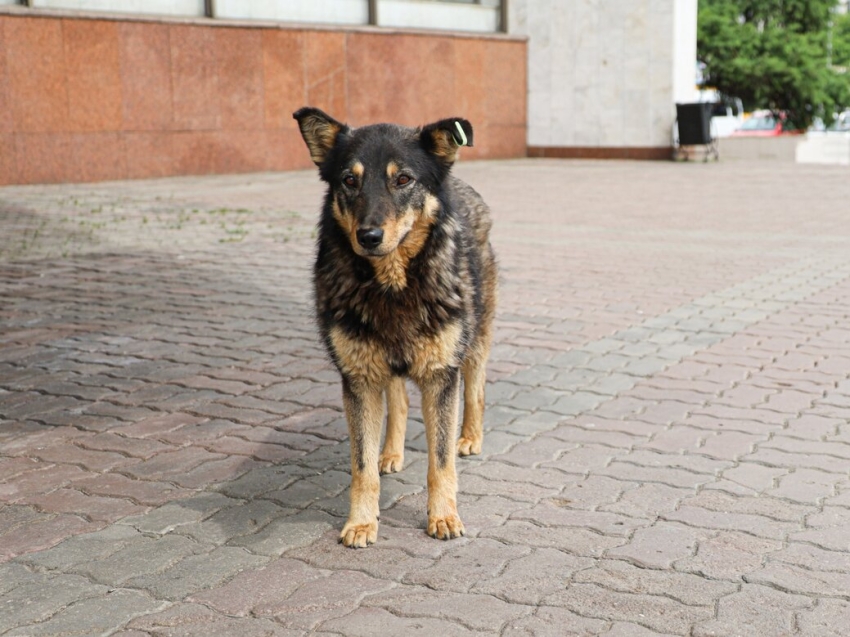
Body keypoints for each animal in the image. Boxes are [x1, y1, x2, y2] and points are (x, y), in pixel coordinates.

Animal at [294, 108, 496, 548]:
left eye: (403, 179)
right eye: (349, 180)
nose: (368, 236)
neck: (391, 285)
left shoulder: (441, 375)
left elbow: (441, 462)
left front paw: (444, 516)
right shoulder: (359, 378)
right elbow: (362, 466)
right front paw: (361, 521)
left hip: (475, 336)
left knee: (475, 388)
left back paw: (470, 437)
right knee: (399, 401)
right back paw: (391, 452)